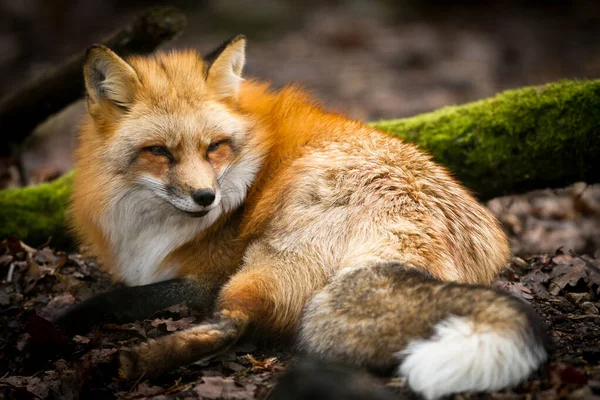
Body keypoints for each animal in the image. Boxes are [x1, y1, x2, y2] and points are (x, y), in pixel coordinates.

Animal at [61, 36, 548, 398]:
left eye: (215, 146)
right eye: (159, 152)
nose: (206, 198)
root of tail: (419, 225)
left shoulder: (207, 277)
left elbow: (120, 298)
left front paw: (62, 323)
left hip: (261, 264)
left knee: (235, 326)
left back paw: (134, 362)